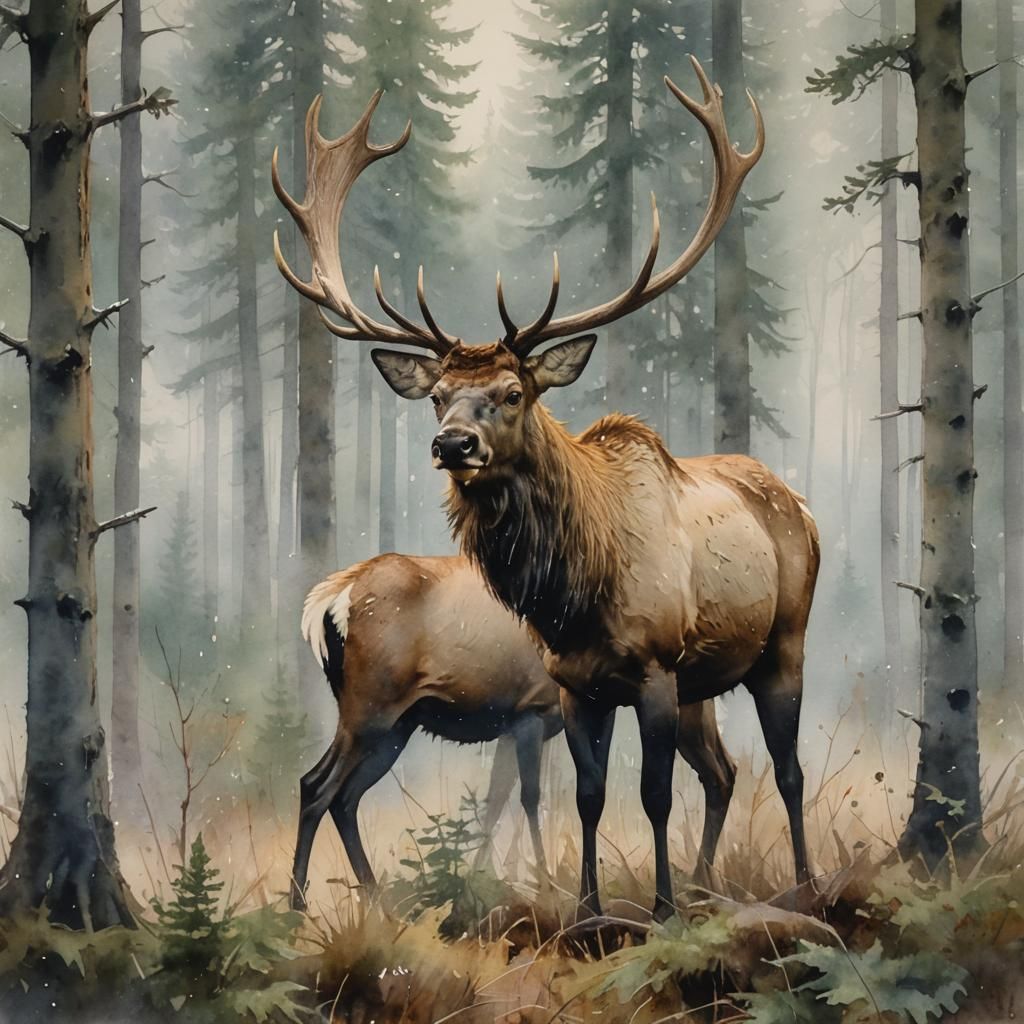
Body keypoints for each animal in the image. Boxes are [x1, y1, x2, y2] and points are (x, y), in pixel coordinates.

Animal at [291, 553, 737, 911]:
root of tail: (328, 602)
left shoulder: (524, 721)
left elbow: (497, 799)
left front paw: (485, 880)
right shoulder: (531, 712)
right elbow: (528, 797)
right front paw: (542, 881)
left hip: (396, 725)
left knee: (344, 797)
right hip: (370, 708)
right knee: (317, 784)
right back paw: (299, 903)